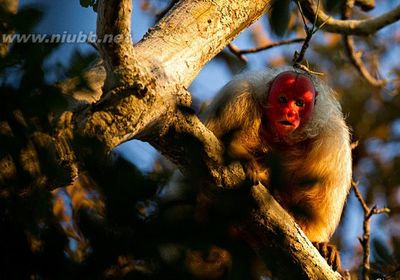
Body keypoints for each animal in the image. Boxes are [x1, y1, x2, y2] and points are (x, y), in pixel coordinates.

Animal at [205, 68, 352, 272]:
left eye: (299, 103)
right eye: (282, 99)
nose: (289, 113)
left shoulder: (332, 139)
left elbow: (315, 209)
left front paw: (320, 244)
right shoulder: (236, 97)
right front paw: (243, 158)